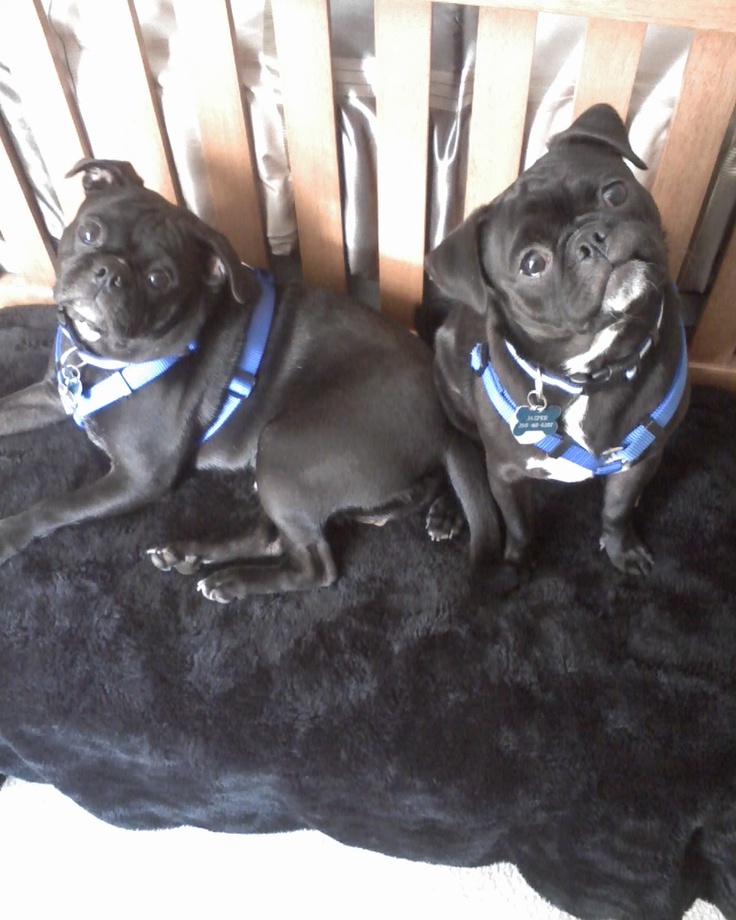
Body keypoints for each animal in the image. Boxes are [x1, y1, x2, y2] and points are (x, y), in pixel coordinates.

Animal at [0, 160, 500, 604]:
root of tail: (439, 418)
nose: (110, 272)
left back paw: (233, 581)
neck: (94, 359)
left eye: (160, 278)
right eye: (90, 232)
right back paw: (190, 553)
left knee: (315, 565)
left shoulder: (137, 478)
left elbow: (57, 505)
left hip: (284, 448)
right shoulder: (47, 396)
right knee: (274, 536)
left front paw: (9, 532)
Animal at [426, 106, 688, 576]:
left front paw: (621, 549)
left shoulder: (637, 463)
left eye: (615, 193)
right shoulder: (506, 473)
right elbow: (519, 523)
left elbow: (617, 510)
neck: (592, 374)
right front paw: (519, 562)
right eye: (532, 263)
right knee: (458, 452)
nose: (590, 240)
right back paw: (447, 510)